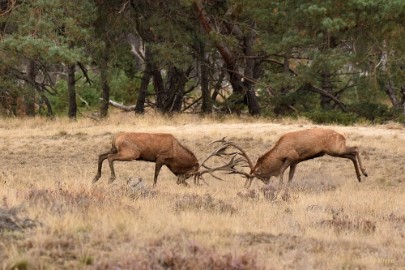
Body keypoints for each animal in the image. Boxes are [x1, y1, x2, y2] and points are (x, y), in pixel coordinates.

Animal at [202, 128, 366, 188]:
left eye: (258, 176)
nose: (266, 184)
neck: (278, 153)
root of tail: (343, 135)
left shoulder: (292, 156)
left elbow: (281, 172)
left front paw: (279, 188)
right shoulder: (296, 161)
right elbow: (290, 176)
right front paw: (287, 188)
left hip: (335, 148)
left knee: (356, 148)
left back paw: (364, 172)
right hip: (335, 150)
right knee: (352, 154)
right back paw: (359, 177)